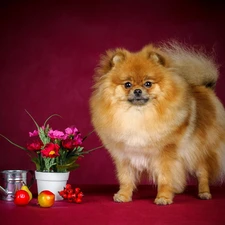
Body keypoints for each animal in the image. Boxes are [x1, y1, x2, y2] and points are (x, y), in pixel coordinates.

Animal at [89, 41, 225, 205]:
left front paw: (163, 197)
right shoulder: (125, 155)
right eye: (127, 84)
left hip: (198, 151)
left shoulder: (166, 153)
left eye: (148, 83)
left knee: (203, 172)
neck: (138, 116)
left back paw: (204, 193)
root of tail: (206, 88)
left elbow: (165, 178)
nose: (137, 91)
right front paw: (123, 195)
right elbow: (126, 178)